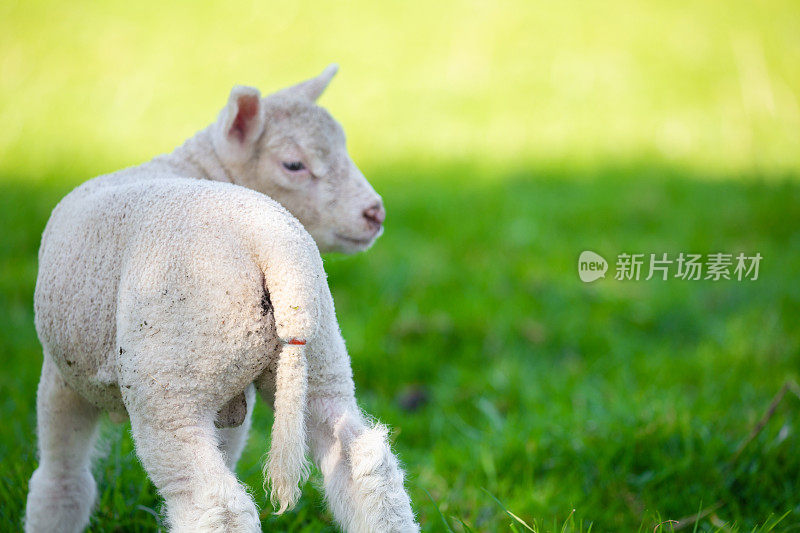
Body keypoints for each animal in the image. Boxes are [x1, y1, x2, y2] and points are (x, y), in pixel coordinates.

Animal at [25, 66, 418, 532]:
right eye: (293, 164)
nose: (375, 213)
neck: (196, 165)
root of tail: (274, 245)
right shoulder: (231, 395)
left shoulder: (61, 375)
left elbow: (60, 482)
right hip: (319, 355)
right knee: (364, 464)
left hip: (171, 377)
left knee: (214, 504)